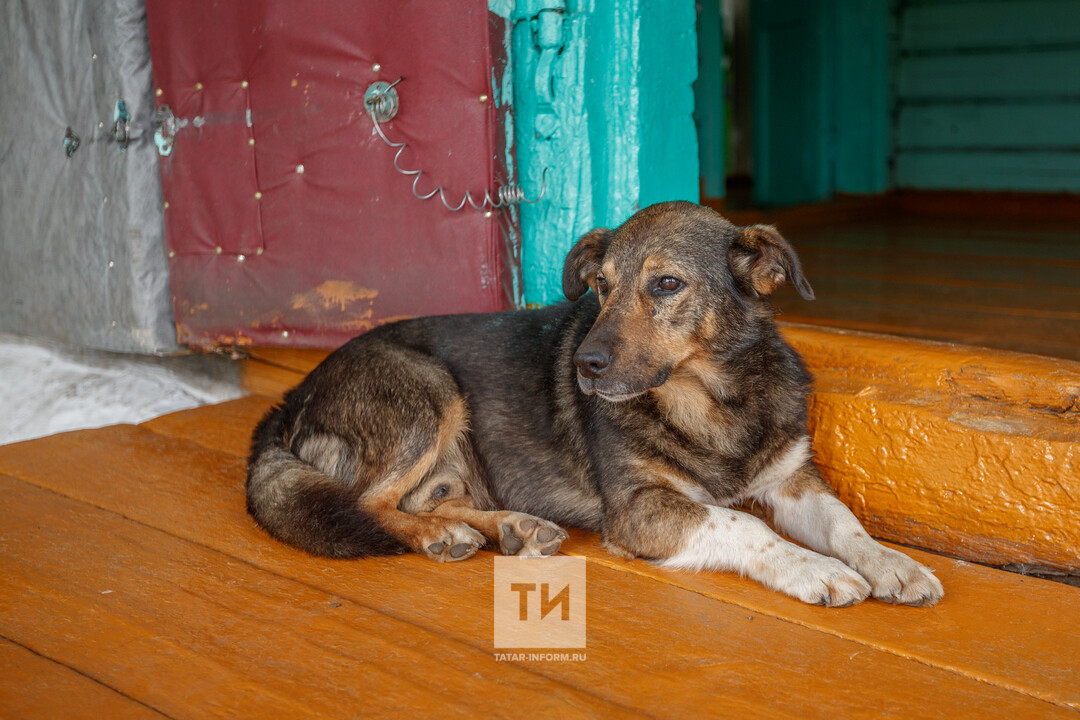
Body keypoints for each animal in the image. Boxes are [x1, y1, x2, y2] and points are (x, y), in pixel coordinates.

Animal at [246, 201, 943, 607]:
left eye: (666, 284)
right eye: (600, 287)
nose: (583, 365)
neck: (711, 402)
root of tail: (290, 398)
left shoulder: (793, 483)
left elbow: (845, 523)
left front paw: (892, 564)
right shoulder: (638, 510)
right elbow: (743, 524)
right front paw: (813, 569)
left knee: (422, 499)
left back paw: (512, 528)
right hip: (426, 388)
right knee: (369, 502)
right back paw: (441, 537)